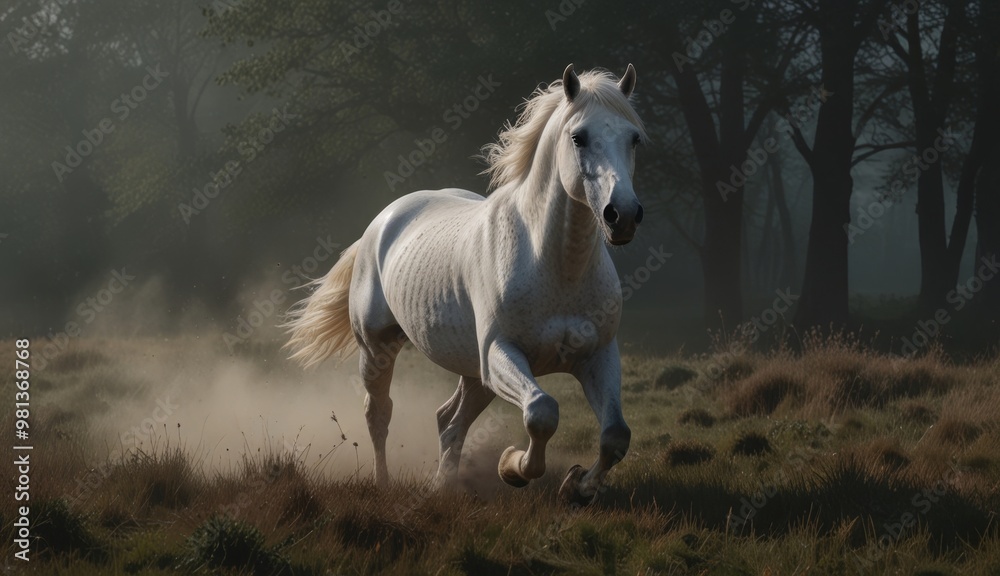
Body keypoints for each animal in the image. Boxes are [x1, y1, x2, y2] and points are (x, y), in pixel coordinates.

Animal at [284, 63, 647, 505]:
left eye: (633, 138)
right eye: (579, 137)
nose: (622, 215)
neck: (557, 267)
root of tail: (382, 221)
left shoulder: (597, 356)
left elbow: (615, 435)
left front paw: (577, 486)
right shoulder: (501, 354)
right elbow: (541, 413)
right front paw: (512, 466)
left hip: (474, 373)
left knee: (449, 420)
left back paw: (443, 484)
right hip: (379, 349)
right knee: (379, 414)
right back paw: (385, 482)